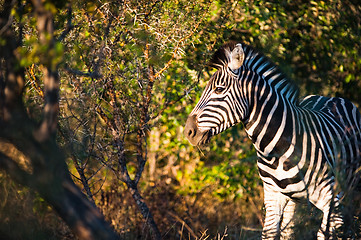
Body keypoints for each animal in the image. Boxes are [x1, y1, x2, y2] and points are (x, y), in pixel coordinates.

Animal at [184, 42, 358, 239]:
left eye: (219, 89)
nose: (188, 131)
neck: (277, 150)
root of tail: (332, 97)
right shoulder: (272, 195)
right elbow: (269, 233)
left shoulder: (330, 200)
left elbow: (325, 233)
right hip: (295, 200)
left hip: (348, 189)